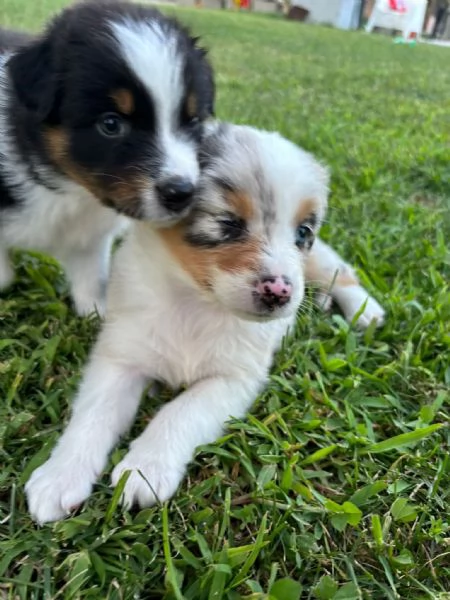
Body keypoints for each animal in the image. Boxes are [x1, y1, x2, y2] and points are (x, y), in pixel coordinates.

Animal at [0, 0, 214, 316]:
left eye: (193, 120)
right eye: (110, 124)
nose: (182, 194)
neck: (70, 189)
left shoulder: (90, 236)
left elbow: (91, 277)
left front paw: (96, 313)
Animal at [25, 124, 384, 524]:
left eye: (303, 232)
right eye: (227, 224)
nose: (280, 292)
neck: (196, 302)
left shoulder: (233, 379)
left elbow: (180, 411)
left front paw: (145, 468)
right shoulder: (120, 357)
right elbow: (93, 413)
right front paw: (60, 475)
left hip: (318, 262)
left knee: (341, 272)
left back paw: (364, 311)